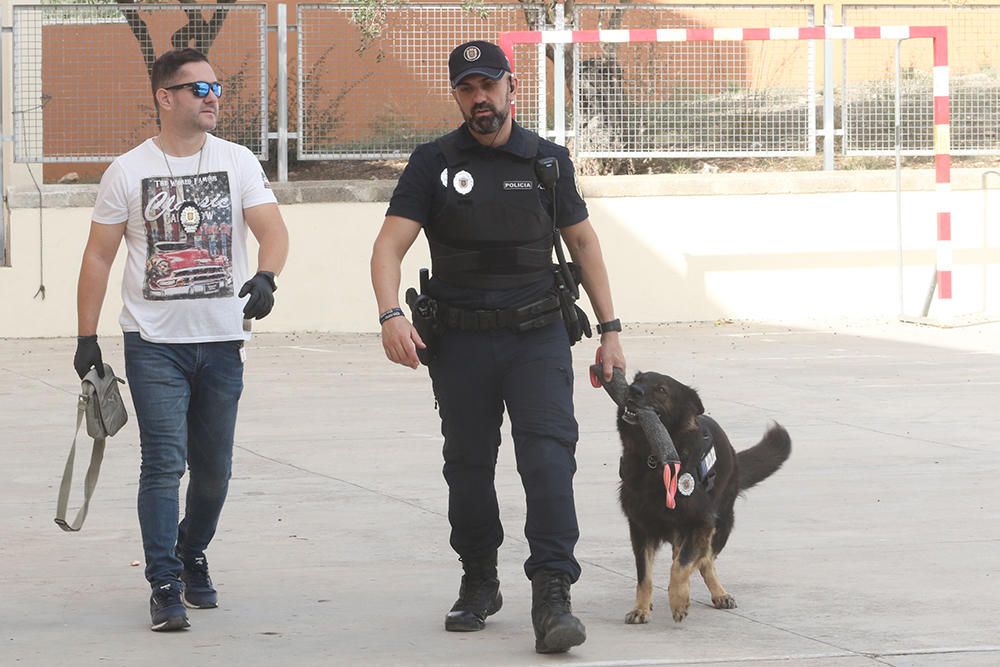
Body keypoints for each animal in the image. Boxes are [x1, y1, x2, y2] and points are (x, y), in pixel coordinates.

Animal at [616, 374, 788, 624]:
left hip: (722, 523)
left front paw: (678, 600)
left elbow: (682, 566)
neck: (653, 459)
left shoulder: (701, 522)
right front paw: (641, 608)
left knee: (705, 560)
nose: (633, 390)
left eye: (661, 389)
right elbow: (644, 575)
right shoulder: (640, 528)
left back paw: (718, 593)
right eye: (638, 378)